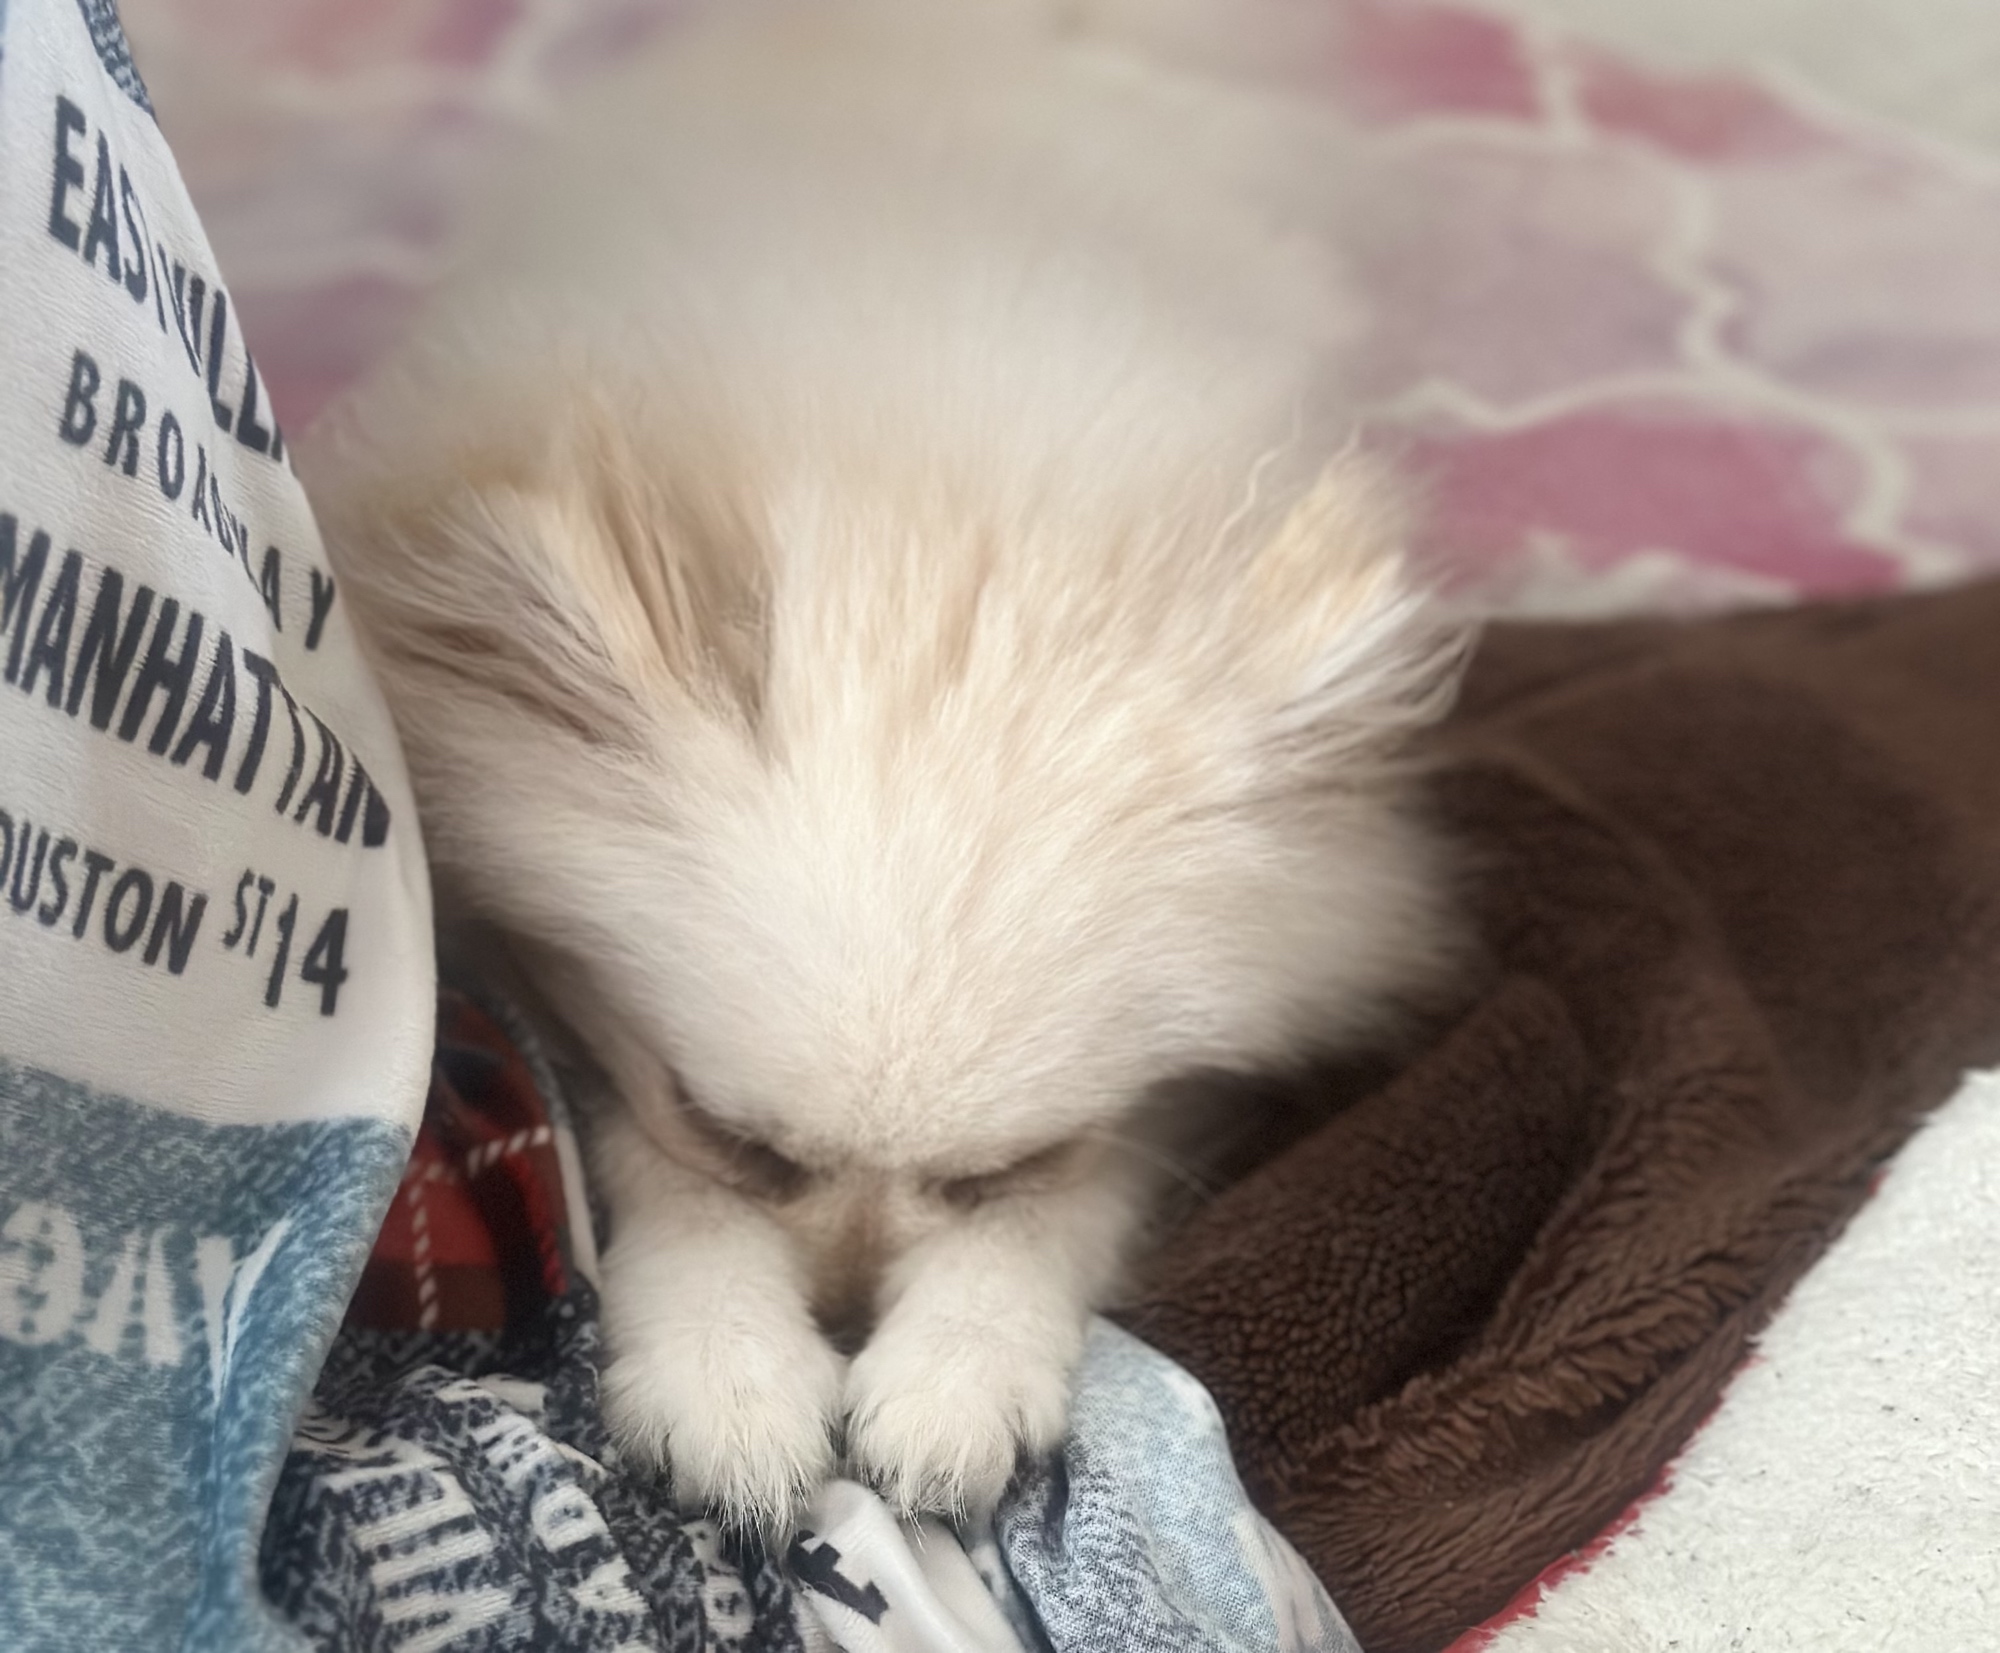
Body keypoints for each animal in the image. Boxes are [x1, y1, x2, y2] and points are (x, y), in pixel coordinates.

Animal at [310, 0, 1467, 1533]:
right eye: (738, 1142)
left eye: (997, 1172)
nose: (848, 1308)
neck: (927, 487)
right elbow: (637, 1162)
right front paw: (729, 1366)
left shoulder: (1168, 1091)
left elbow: (1080, 1201)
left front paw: (955, 1368)